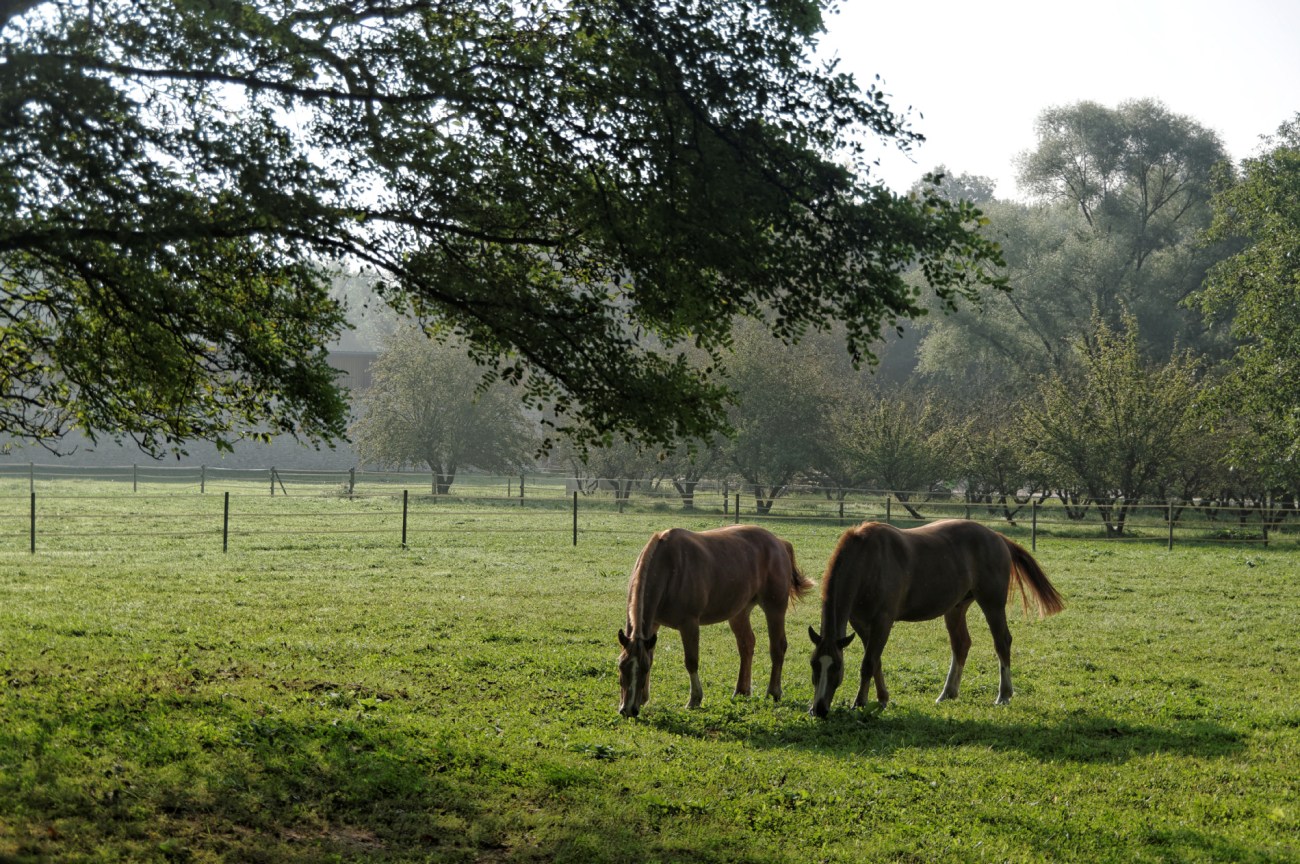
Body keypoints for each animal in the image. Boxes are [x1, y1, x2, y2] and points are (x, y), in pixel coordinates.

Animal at [617, 524, 814, 718]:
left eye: (642, 669)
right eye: (621, 666)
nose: (628, 709)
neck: (669, 566)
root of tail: (779, 543)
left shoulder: (689, 624)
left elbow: (691, 661)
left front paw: (695, 699)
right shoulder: (653, 624)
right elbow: (651, 656)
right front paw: (644, 698)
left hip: (774, 608)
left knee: (777, 647)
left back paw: (774, 692)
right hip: (739, 612)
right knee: (746, 645)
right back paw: (741, 691)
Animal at [808, 519, 1063, 717]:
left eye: (836, 667)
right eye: (813, 664)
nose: (818, 709)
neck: (868, 560)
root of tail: (997, 537)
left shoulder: (883, 622)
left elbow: (868, 663)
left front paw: (860, 703)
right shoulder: (860, 624)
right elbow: (876, 661)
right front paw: (882, 698)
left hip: (992, 603)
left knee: (1002, 642)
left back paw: (1003, 695)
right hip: (956, 608)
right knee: (961, 644)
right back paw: (947, 693)